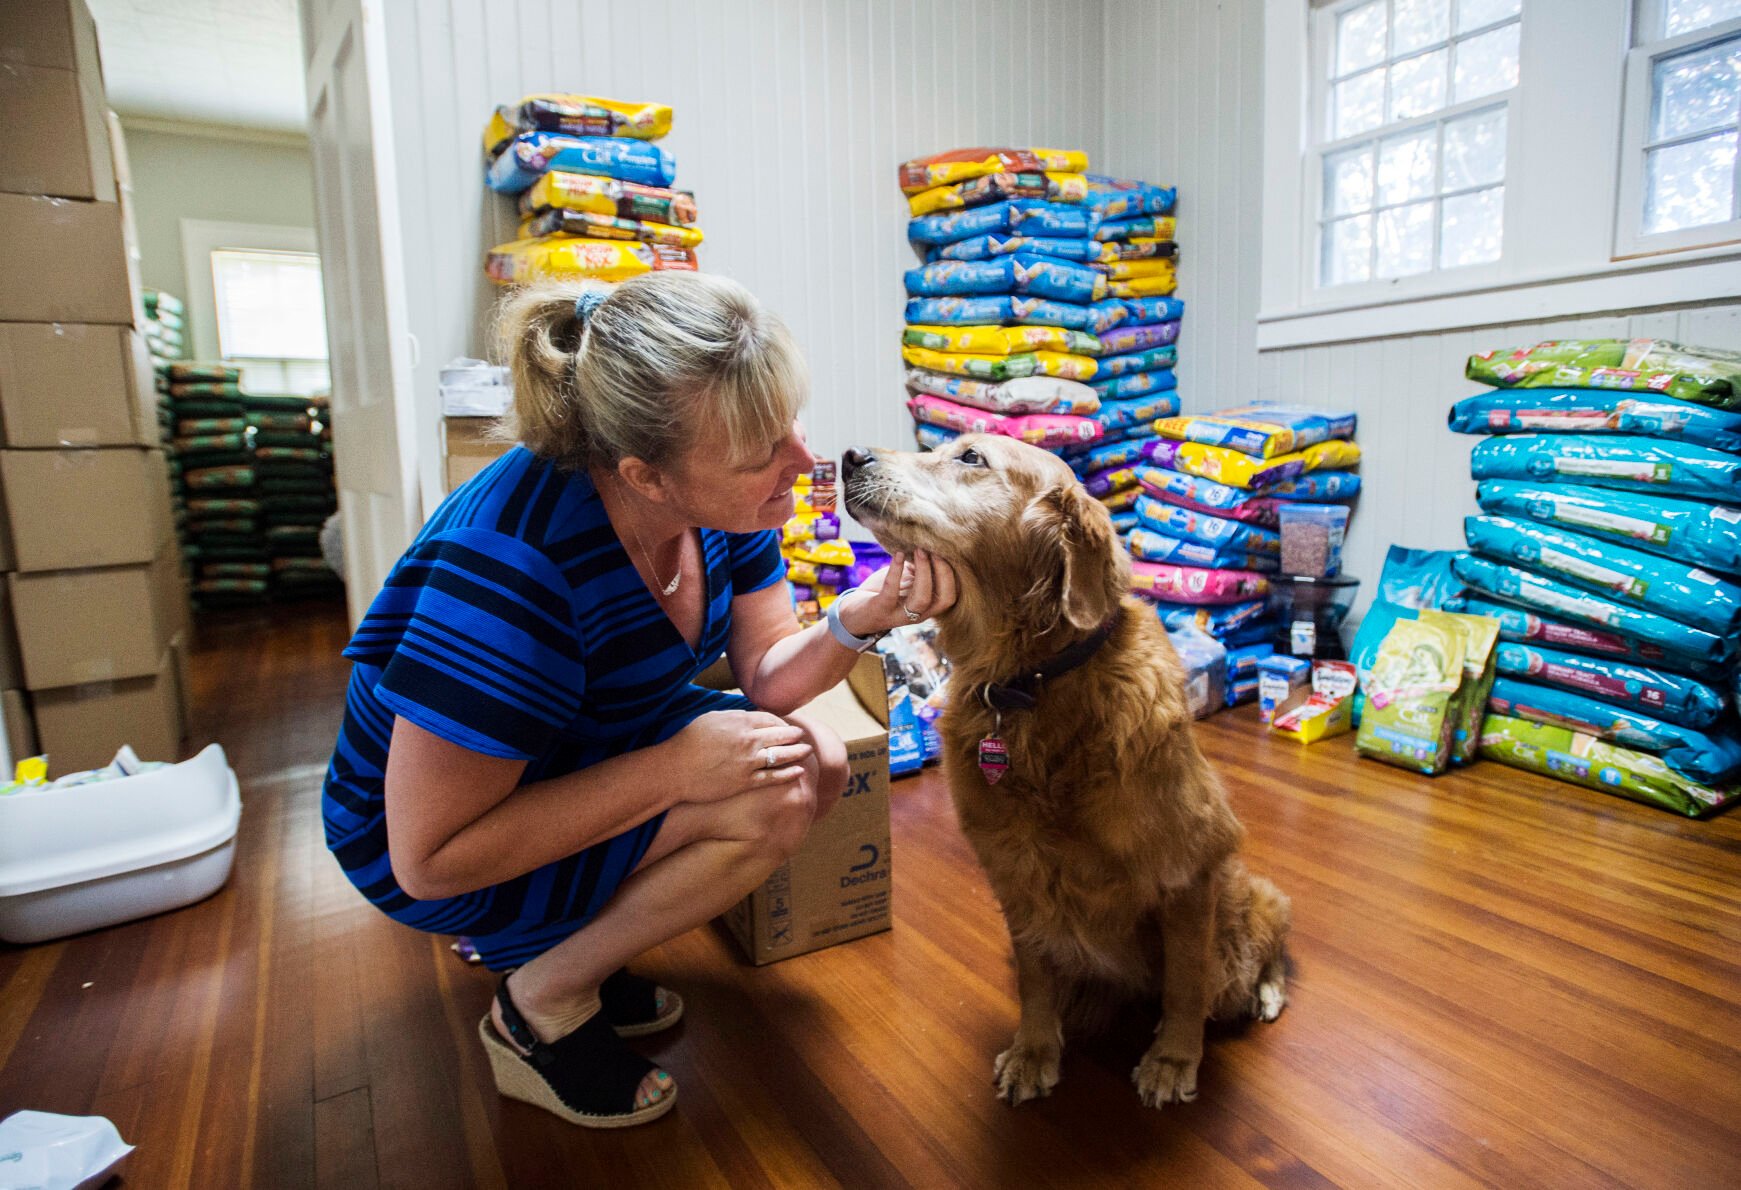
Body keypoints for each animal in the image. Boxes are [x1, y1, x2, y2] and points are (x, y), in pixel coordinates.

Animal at [842, 429, 1295, 1106]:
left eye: (971, 458)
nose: (847, 458)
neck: (1028, 682)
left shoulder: (1188, 875)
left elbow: (1188, 982)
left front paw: (1173, 1059)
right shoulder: (1015, 874)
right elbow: (1035, 975)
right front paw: (1035, 1050)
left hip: (1247, 896)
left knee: (1260, 954)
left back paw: (1265, 992)